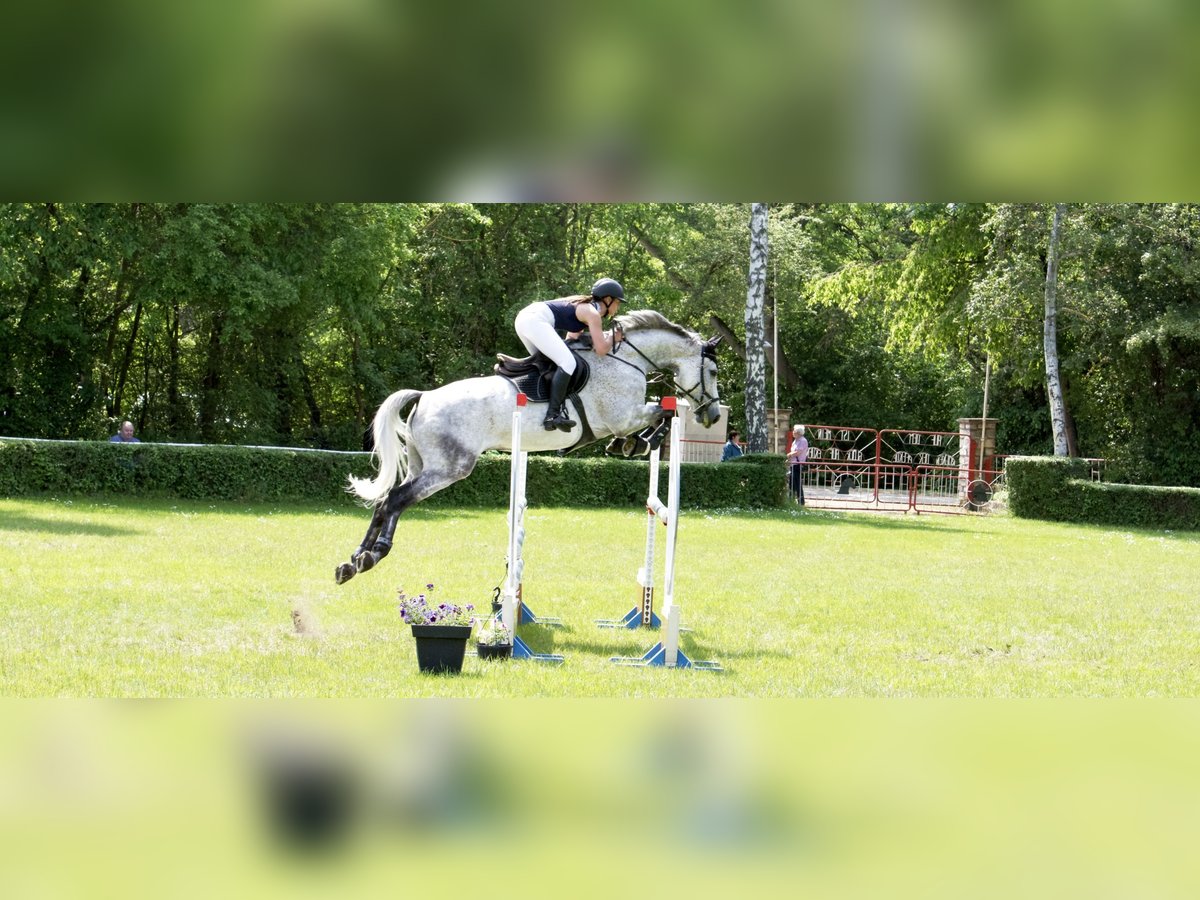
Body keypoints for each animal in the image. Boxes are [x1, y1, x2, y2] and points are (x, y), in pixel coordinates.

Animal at [333, 309, 720, 585]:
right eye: (714, 372)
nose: (713, 415)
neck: (627, 360)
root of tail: (425, 397)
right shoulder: (623, 415)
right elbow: (664, 411)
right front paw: (636, 443)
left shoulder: (626, 415)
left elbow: (662, 411)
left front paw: (628, 445)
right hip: (449, 467)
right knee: (397, 499)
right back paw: (374, 555)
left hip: (421, 464)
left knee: (386, 500)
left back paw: (353, 561)